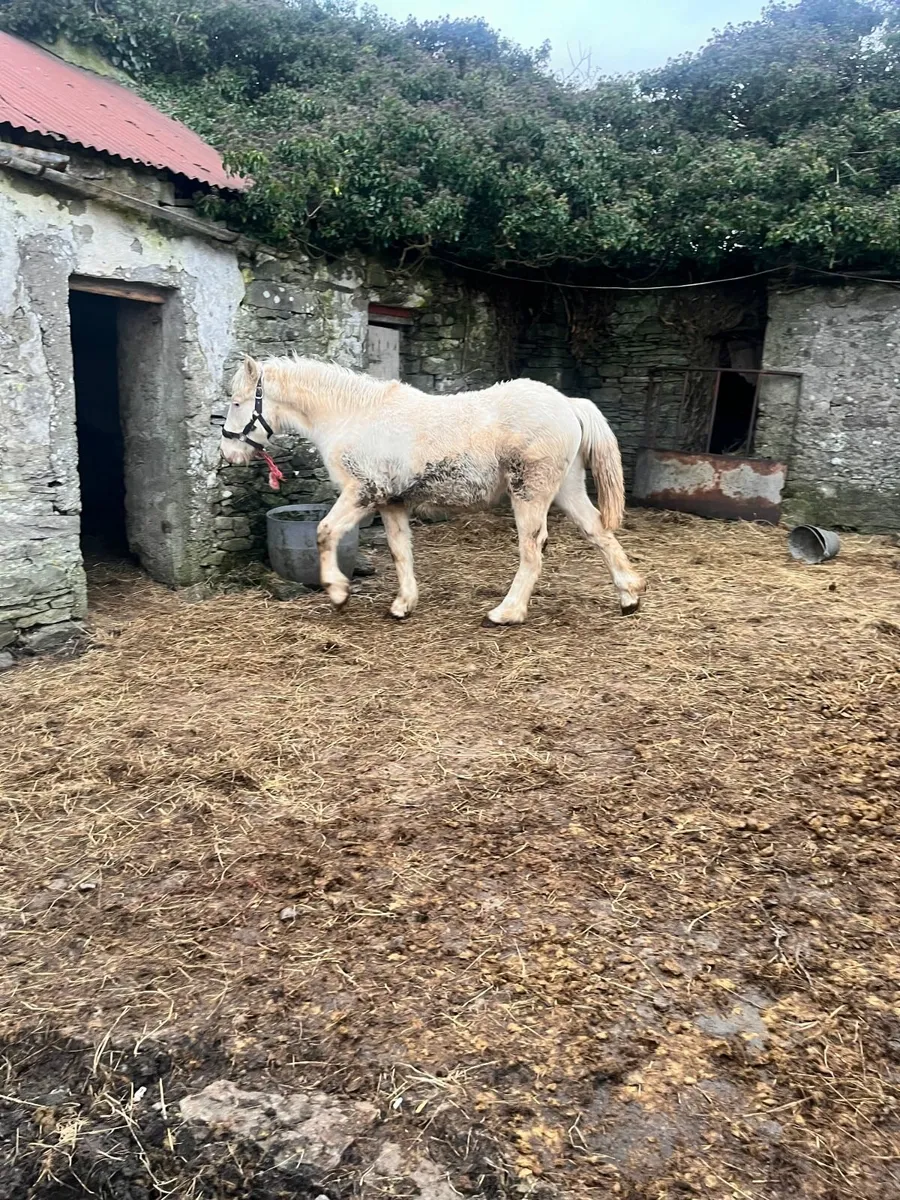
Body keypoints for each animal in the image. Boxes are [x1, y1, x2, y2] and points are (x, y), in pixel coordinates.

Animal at [220, 356, 646, 626]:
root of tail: (568, 404)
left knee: (533, 548)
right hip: (567, 488)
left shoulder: (362, 493)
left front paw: (338, 593)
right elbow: (400, 550)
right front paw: (403, 605)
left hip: (530, 492)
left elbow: (325, 532)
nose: (228, 452)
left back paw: (506, 613)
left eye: (237, 402)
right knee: (598, 531)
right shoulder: (391, 502)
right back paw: (629, 595)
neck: (353, 416)